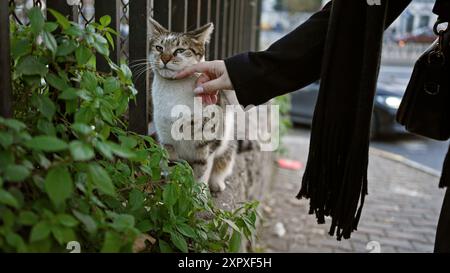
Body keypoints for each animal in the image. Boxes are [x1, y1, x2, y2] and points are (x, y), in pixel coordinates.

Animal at [149, 18, 237, 192]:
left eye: (180, 50)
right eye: (159, 47)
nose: (165, 58)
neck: (173, 90)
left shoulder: (207, 141)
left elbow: (202, 171)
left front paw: (199, 194)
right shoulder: (166, 140)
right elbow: (173, 167)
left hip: (227, 144)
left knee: (223, 162)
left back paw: (217, 183)